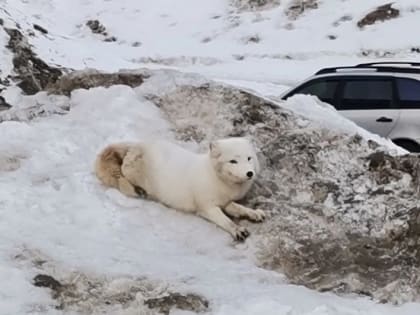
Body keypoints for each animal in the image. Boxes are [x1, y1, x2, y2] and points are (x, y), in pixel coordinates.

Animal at [95, 137, 266, 241]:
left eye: (249, 158)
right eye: (233, 161)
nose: (250, 173)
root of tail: (136, 144)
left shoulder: (225, 202)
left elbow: (239, 208)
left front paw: (254, 213)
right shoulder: (206, 207)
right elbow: (225, 221)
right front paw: (237, 230)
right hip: (134, 175)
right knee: (123, 179)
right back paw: (138, 190)